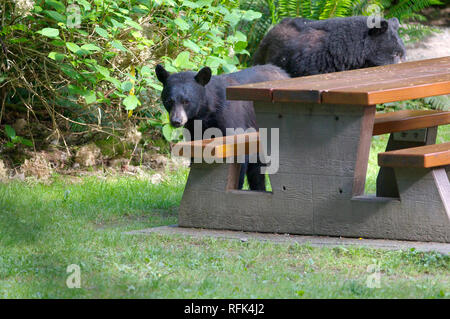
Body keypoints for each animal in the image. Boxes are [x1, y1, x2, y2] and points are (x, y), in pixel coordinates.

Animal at [154, 63, 288, 191]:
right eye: (169, 101)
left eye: (186, 101)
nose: (176, 121)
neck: (206, 113)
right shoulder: (194, 130)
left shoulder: (232, 121)